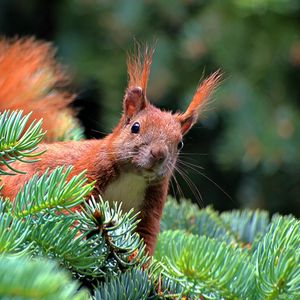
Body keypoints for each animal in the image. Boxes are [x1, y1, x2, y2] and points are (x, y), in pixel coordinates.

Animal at [0, 37, 220, 253]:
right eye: (135, 127)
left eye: (180, 144)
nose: (158, 154)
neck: (133, 177)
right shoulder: (87, 172)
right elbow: (73, 205)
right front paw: (76, 237)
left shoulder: (151, 211)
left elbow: (145, 241)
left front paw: (139, 262)